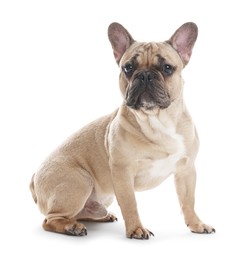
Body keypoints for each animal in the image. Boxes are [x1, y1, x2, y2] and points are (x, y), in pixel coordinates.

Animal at [29, 21, 215, 239]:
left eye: (167, 68)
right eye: (128, 67)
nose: (145, 75)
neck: (157, 120)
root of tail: (34, 179)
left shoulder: (186, 170)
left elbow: (188, 201)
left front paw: (197, 224)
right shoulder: (122, 172)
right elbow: (130, 204)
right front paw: (136, 229)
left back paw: (99, 217)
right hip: (80, 182)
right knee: (50, 219)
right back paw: (71, 227)